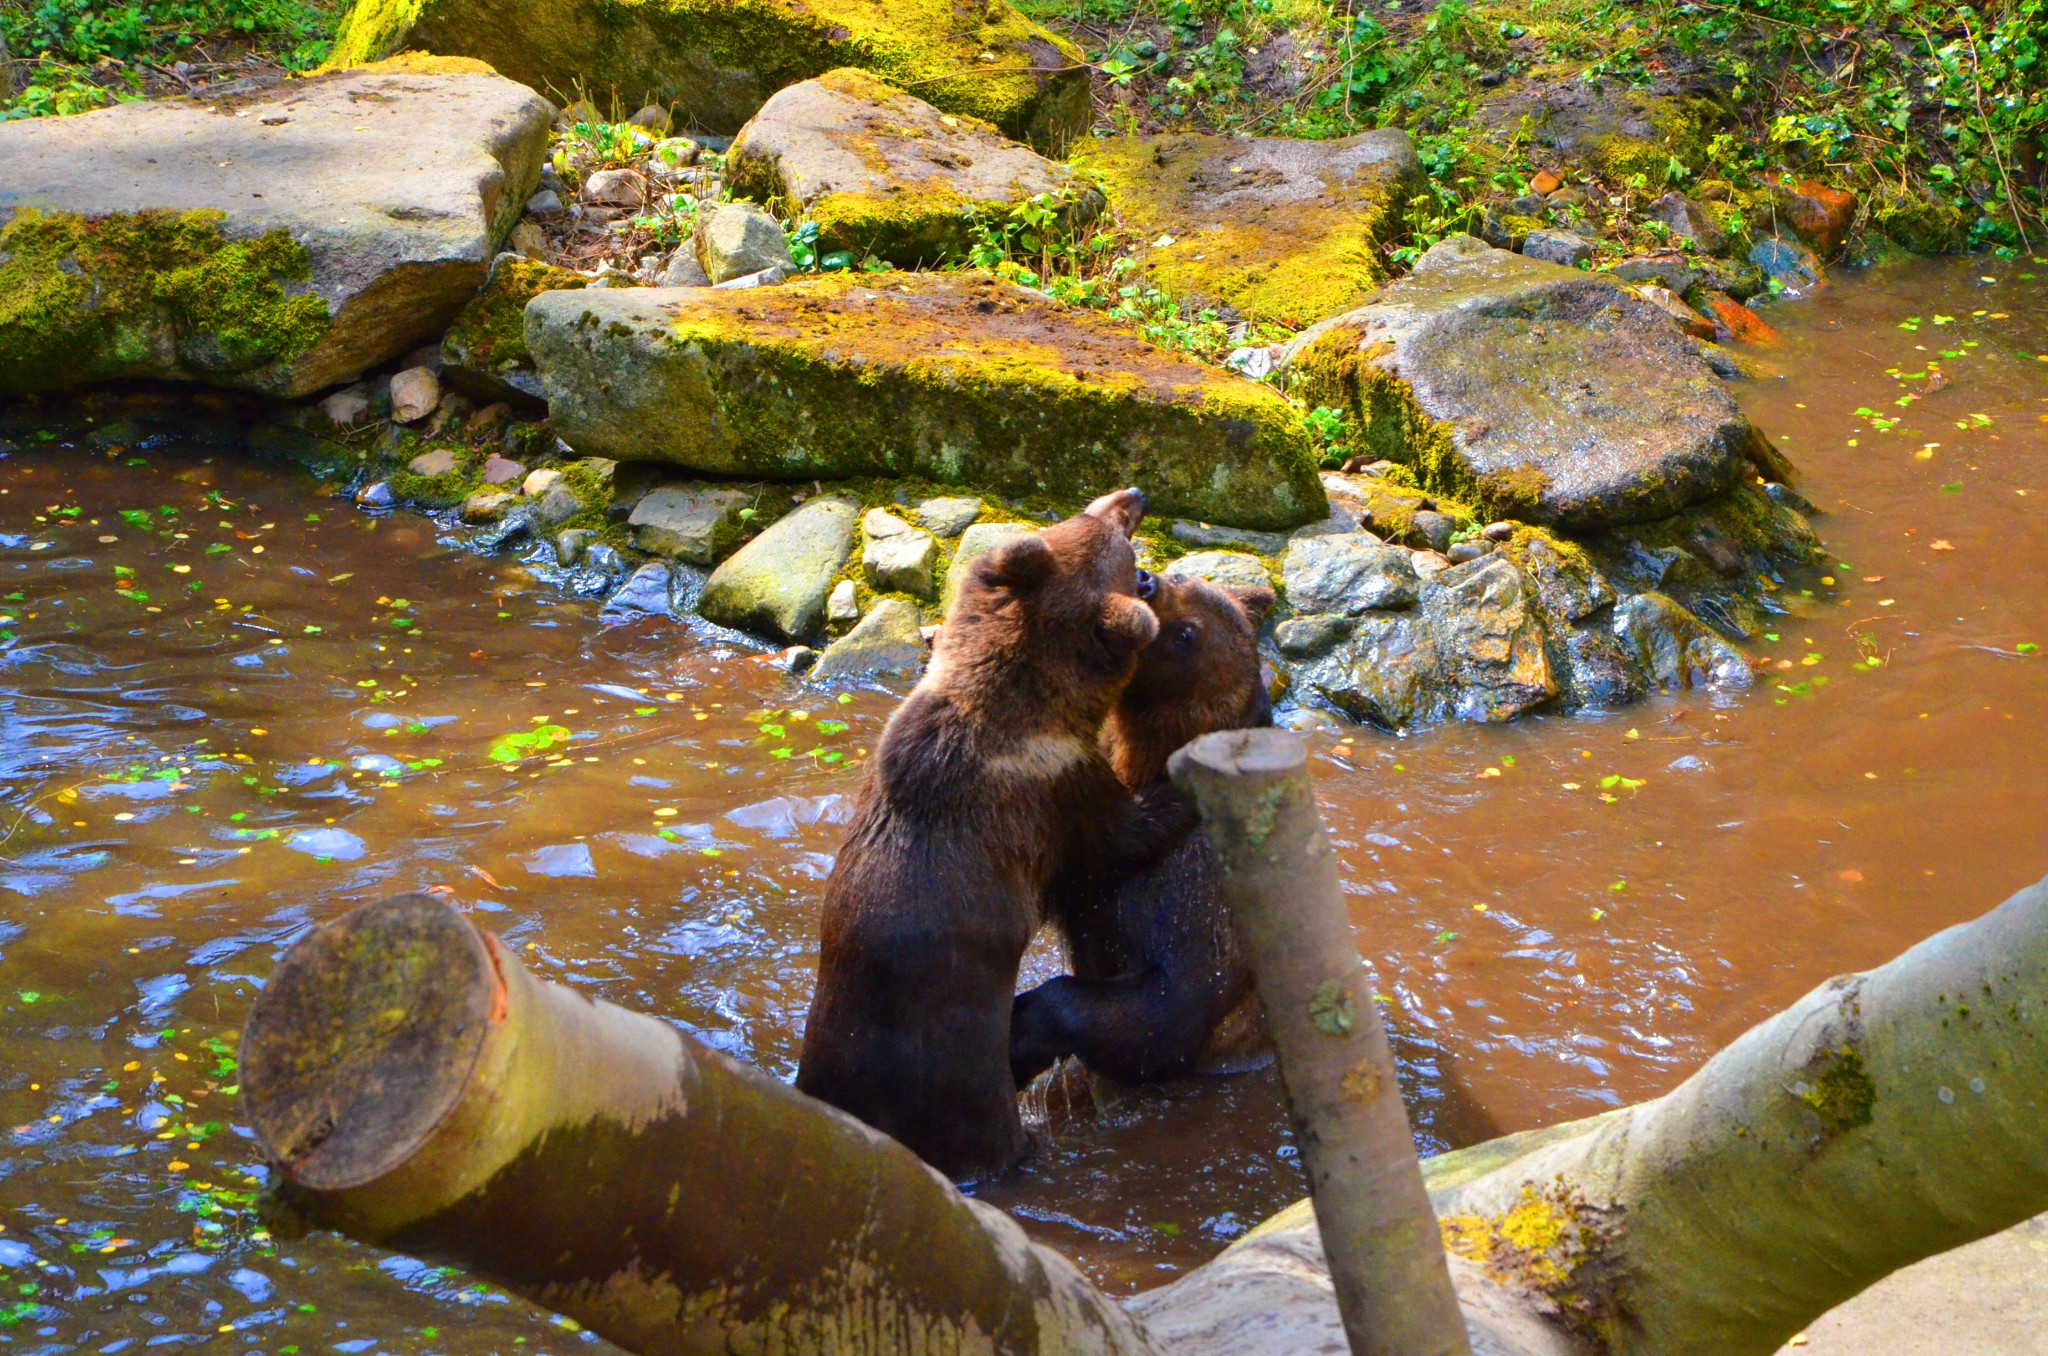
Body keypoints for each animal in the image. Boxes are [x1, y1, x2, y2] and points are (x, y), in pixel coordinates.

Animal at [794, 485, 1187, 1179]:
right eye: (1118, 536)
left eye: (1086, 515)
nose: (1134, 494)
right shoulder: (1056, 796)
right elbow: (1120, 839)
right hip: (964, 1093)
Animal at [1011, 573, 1277, 1097]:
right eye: (1184, 574)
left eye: (1188, 634)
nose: (1146, 580)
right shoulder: (1083, 855)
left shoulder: (1193, 896)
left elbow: (1165, 1012)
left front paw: (1022, 1035)